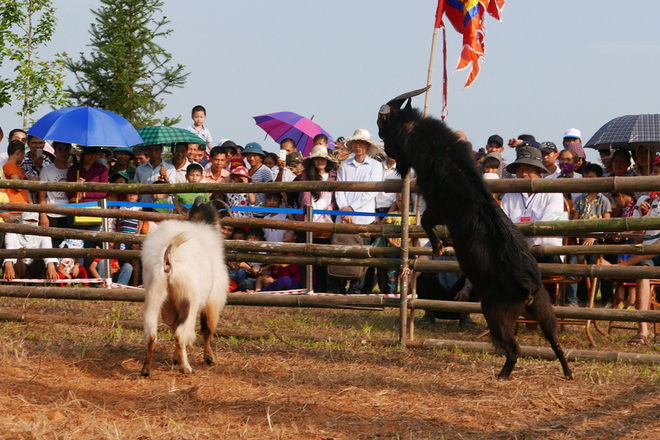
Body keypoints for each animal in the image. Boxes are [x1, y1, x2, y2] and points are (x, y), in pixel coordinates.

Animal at [141, 198, 229, 376]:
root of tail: (168, 257)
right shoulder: (212, 300)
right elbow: (207, 329)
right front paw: (209, 358)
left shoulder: (172, 305)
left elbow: (174, 327)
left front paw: (175, 358)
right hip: (189, 301)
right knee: (181, 335)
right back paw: (187, 368)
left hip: (154, 294)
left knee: (152, 333)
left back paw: (146, 369)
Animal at [376, 86, 572, 378]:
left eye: (383, 130)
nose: (386, 156)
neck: (438, 153)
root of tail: (529, 284)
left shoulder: (436, 207)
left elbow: (425, 222)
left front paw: (439, 246)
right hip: (543, 308)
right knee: (555, 339)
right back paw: (567, 371)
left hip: (496, 311)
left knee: (514, 347)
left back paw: (502, 374)